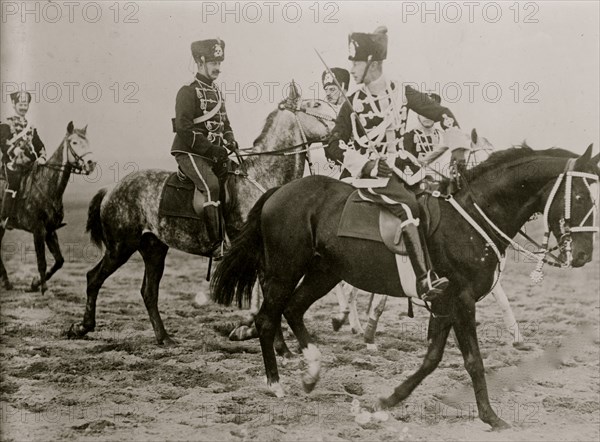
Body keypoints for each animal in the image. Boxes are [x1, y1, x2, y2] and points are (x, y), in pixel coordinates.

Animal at [211, 145, 600, 428]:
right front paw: (491, 417)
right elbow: (473, 361)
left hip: (325, 272)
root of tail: (280, 191)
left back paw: (312, 374)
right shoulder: (462, 300)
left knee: (292, 310)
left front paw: (385, 403)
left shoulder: (444, 304)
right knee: (268, 318)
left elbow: (431, 359)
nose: (584, 254)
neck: (470, 219)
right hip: (284, 270)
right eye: (581, 198)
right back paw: (276, 384)